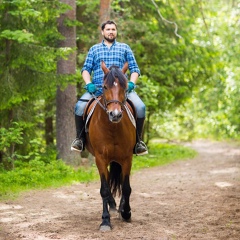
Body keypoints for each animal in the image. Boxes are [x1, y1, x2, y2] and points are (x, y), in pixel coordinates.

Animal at [85, 60, 136, 231]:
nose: (115, 114)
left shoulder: (127, 158)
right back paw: (112, 205)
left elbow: (126, 187)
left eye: (125, 87)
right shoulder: (100, 159)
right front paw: (105, 221)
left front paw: (126, 212)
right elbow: (105, 189)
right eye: (105, 87)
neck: (112, 128)